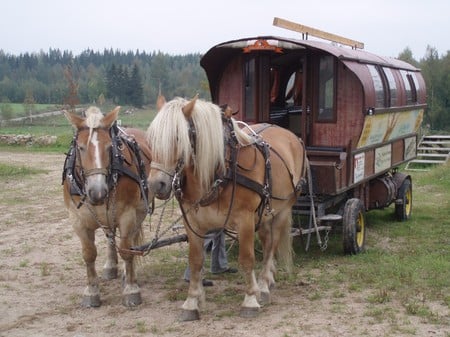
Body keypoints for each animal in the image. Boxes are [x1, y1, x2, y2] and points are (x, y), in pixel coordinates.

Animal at [62, 105, 153, 308]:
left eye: (110, 147)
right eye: (80, 148)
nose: (98, 191)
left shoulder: (127, 214)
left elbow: (126, 250)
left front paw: (131, 289)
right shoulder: (77, 219)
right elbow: (89, 254)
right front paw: (91, 291)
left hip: (139, 209)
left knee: (130, 241)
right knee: (110, 235)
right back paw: (111, 266)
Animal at [146, 96, 308, 318]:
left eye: (178, 138)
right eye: (151, 139)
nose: (156, 185)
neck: (219, 171)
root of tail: (291, 136)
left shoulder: (245, 220)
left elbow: (246, 259)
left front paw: (250, 300)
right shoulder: (193, 223)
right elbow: (195, 261)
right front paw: (191, 302)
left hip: (282, 210)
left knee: (272, 245)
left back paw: (264, 284)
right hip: (265, 213)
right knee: (267, 241)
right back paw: (267, 281)